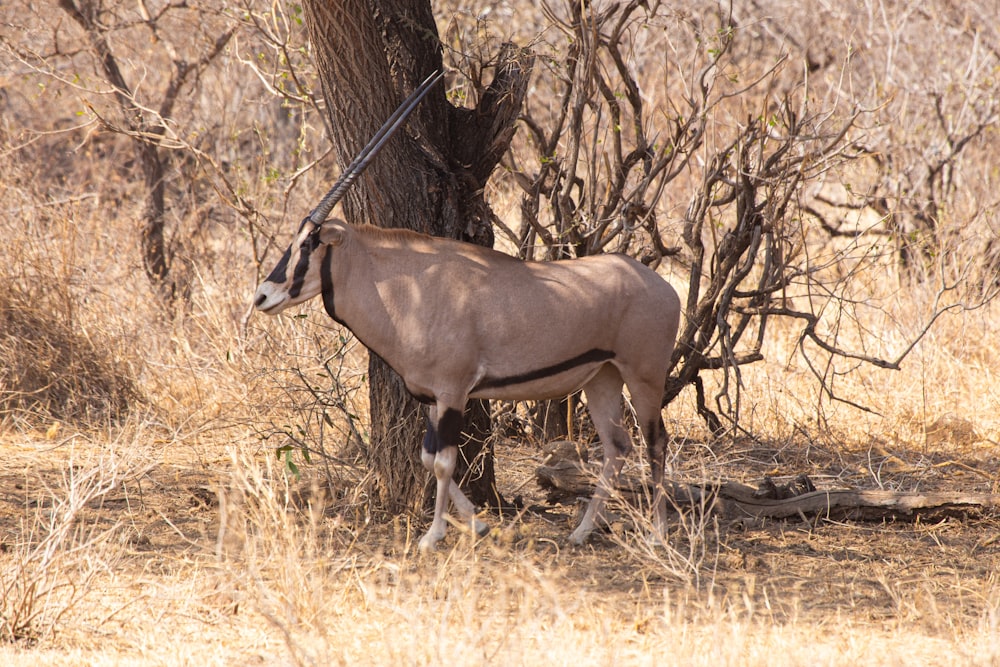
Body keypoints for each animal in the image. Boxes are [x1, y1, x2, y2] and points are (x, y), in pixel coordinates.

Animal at [254, 73, 684, 552]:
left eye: (309, 244)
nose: (263, 296)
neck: (407, 285)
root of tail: (662, 286)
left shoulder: (453, 391)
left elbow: (443, 463)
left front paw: (434, 535)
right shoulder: (430, 397)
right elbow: (428, 458)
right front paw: (477, 524)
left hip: (643, 375)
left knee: (656, 442)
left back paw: (658, 534)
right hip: (602, 378)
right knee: (617, 446)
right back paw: (582, 530)